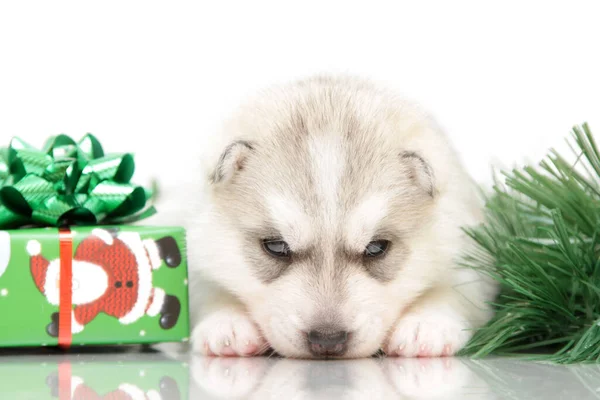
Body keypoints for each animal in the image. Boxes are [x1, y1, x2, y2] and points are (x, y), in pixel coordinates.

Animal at [183, 76, 496, 360]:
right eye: (276, 246)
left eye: (376, 248)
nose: (327, 340)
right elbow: (209, 289)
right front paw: (227, 325)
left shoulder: (468, 261)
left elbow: (451, 293)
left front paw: (426, 325)